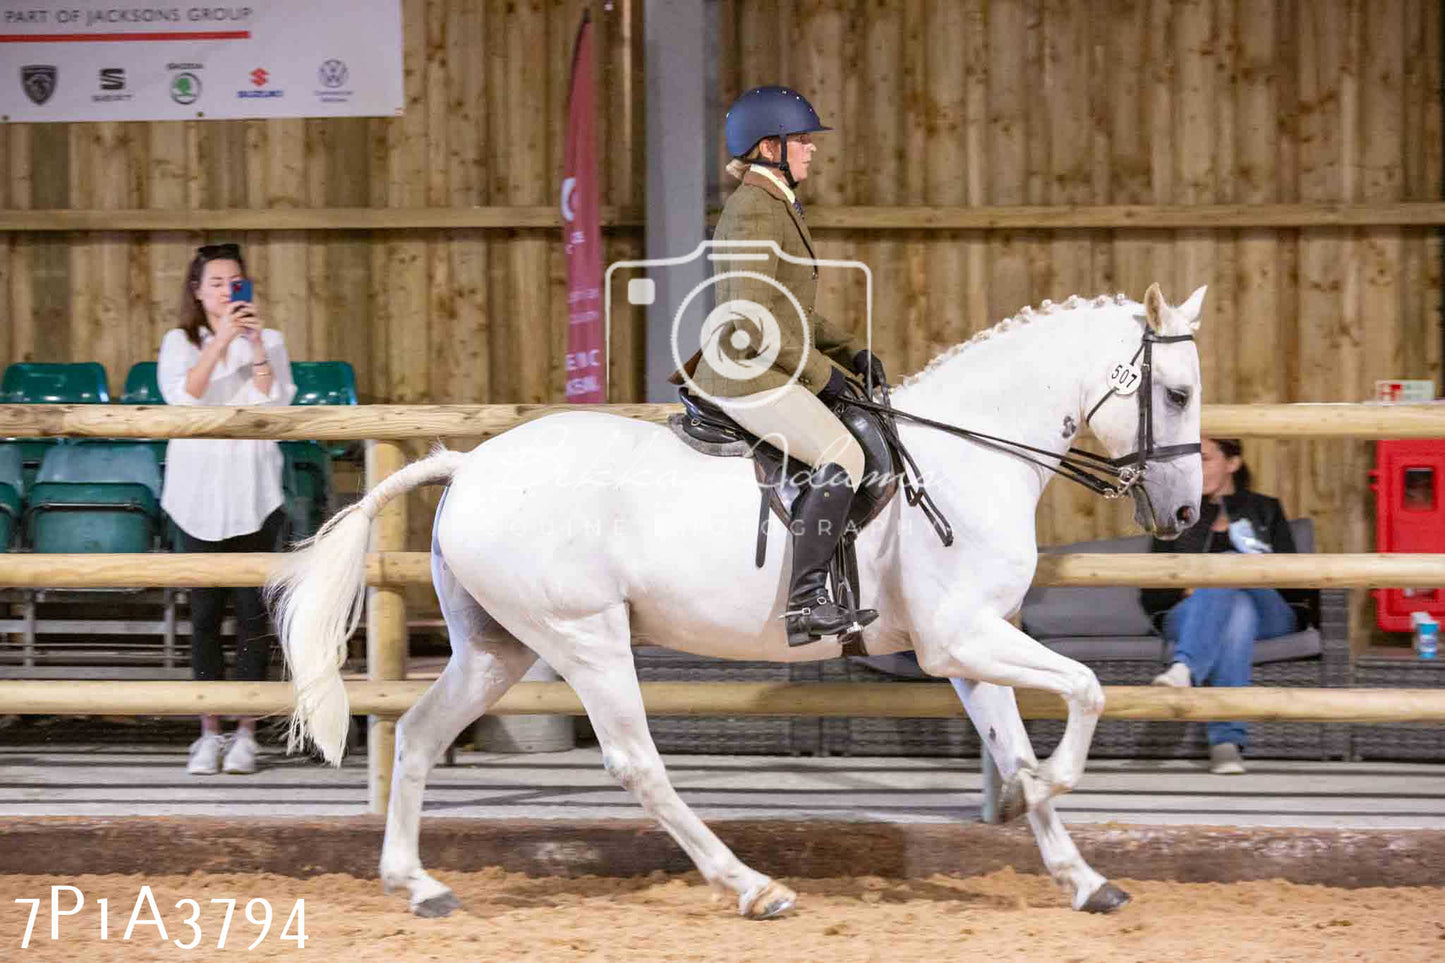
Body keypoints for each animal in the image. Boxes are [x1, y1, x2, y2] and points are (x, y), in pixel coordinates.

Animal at [268, 279, 1208, 913]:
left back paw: (416, 883)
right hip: (585, 638)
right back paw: (751, 885)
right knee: (636, 762)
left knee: (422, 734)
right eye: (1176, 393)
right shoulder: (960, 637)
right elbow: (1086, 688)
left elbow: (1014, 743)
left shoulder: (966, 647)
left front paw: (1078, 872)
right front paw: (1051, 785)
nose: (1184, 515)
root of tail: (468, 465)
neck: (971, 450)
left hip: (497, 647)